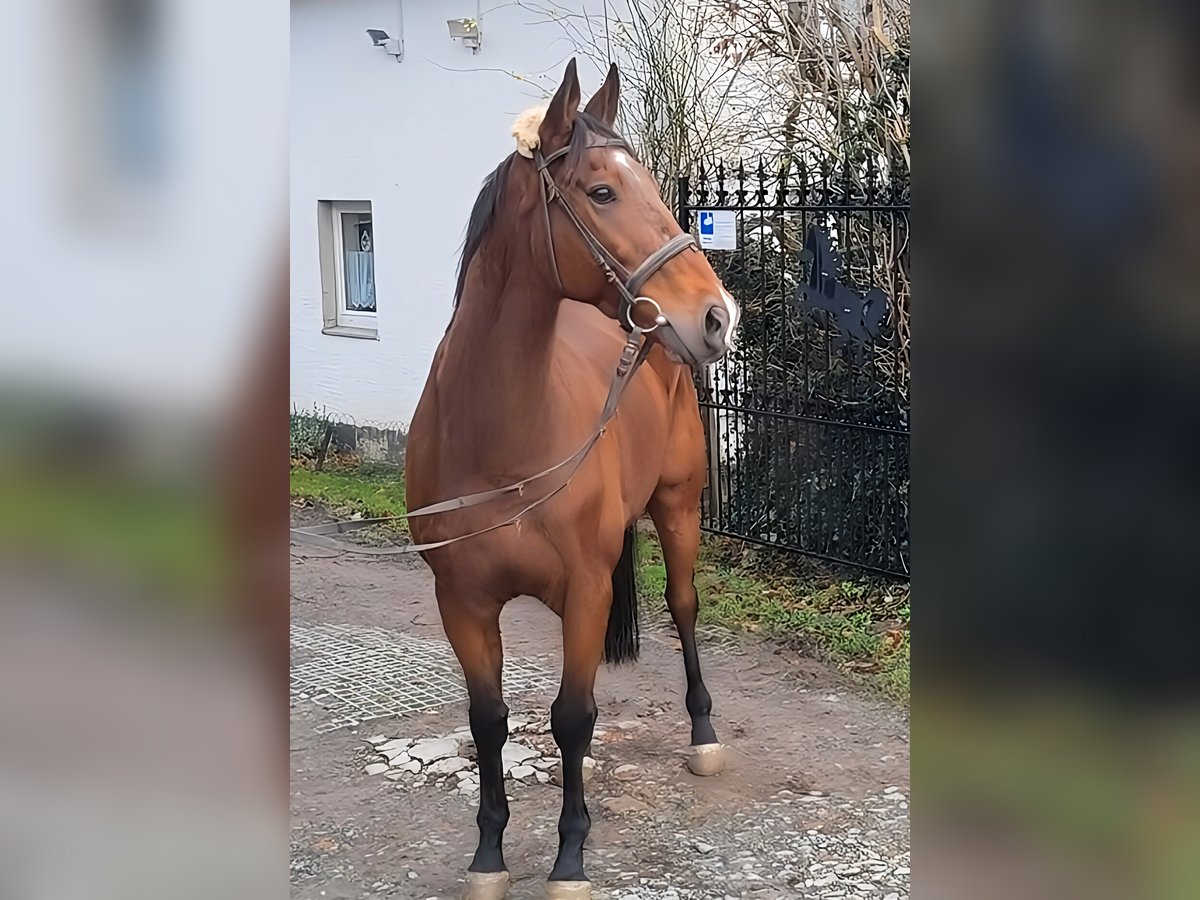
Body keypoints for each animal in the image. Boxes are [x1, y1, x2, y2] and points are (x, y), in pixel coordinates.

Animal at [405, 60, 739, 897]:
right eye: (603, 190)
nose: (718, 316)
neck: (501, 441)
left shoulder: (585, 592)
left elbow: (571, 718)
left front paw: (569, 859)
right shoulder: (462, 602)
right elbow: (490, 721)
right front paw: (489, 856)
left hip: (679, 509)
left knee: (683, 607)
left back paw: (704, 733)